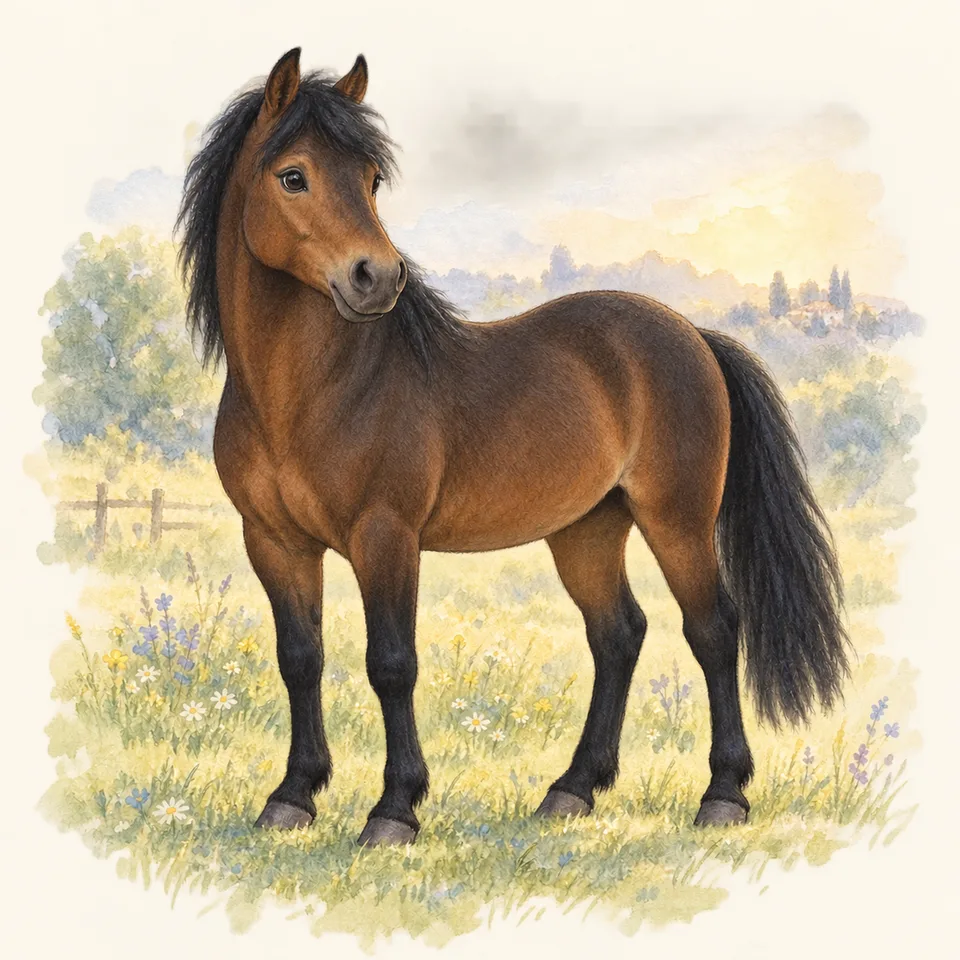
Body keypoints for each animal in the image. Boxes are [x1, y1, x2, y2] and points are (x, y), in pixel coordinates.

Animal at [176, 48, 849, 847]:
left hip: (677, 521)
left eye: (370, 179)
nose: (377, 278)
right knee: (618, 634)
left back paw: (722, 795)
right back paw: (572, 789)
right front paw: (292, 797)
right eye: (292, 176)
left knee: (712, 631)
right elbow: (300, 659)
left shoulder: (385, 536)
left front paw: (394, 810)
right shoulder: (273, 541)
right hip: (587, 528)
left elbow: (391, 663)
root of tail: (692, 335)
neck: (313, 393)